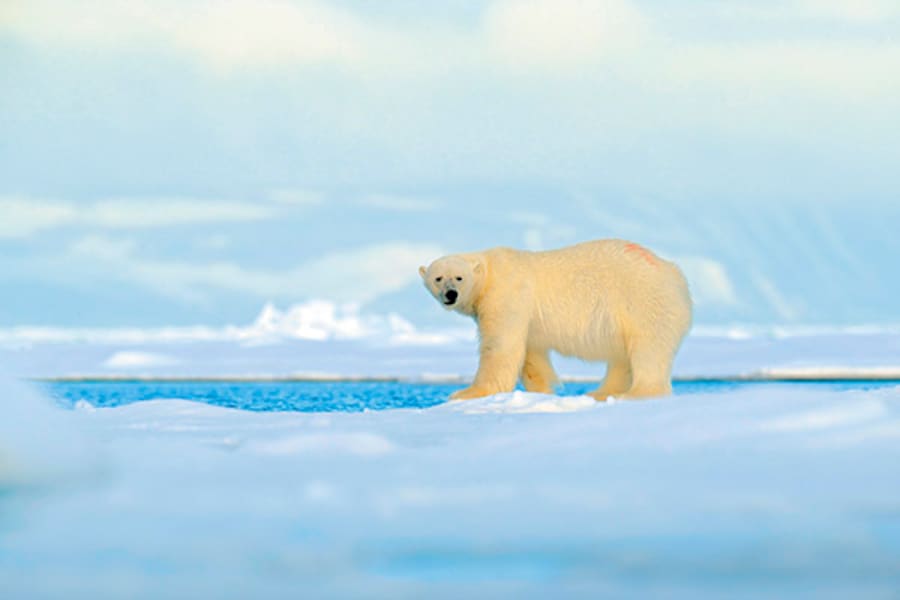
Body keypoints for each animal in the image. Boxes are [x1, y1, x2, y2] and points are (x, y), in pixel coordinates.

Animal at [418, 241, 692, 400]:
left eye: (459, 277)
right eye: (438, 278)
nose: (451, 294)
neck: (489, 271)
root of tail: (675, 274)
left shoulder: (506, 294)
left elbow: (500, 346)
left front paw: (467, 393)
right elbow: (531, 354)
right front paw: (543, 392)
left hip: (643, 301)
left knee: (648, 348)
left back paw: (637, 393)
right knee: (622, 357)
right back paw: (601, 392)